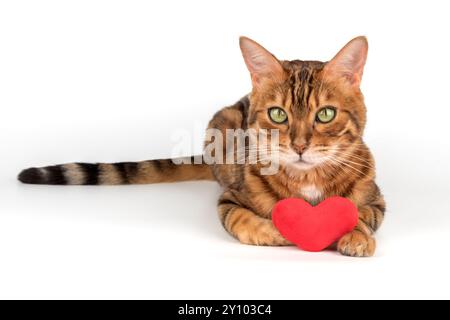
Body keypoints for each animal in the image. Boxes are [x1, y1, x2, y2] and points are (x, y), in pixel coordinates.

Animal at [16, 36, 384, 258]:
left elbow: (362, 214)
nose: (299, 145)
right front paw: (273, 231)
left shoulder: (376, 199)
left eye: (326, 114)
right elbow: (241, 220)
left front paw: (356, 235)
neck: (306, 181)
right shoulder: (230, 199)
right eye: (278, 114)